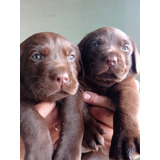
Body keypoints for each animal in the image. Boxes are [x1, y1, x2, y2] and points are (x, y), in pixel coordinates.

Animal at [20, 31, 83, 159]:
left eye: (71, 57)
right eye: (36, 56)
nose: (62, 78)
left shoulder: (74, 92)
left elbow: (74, 116)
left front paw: (68, 153)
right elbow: (32, 118)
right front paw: (40, 153)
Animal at [78, 26, 139, 159]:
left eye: (125, 48)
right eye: (94, 44)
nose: (111, 60)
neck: (103, 86)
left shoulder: (127, 87)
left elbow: (126, 107)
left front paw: (125, 140)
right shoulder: (80, 87)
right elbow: (80, 108)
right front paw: (90, 131)